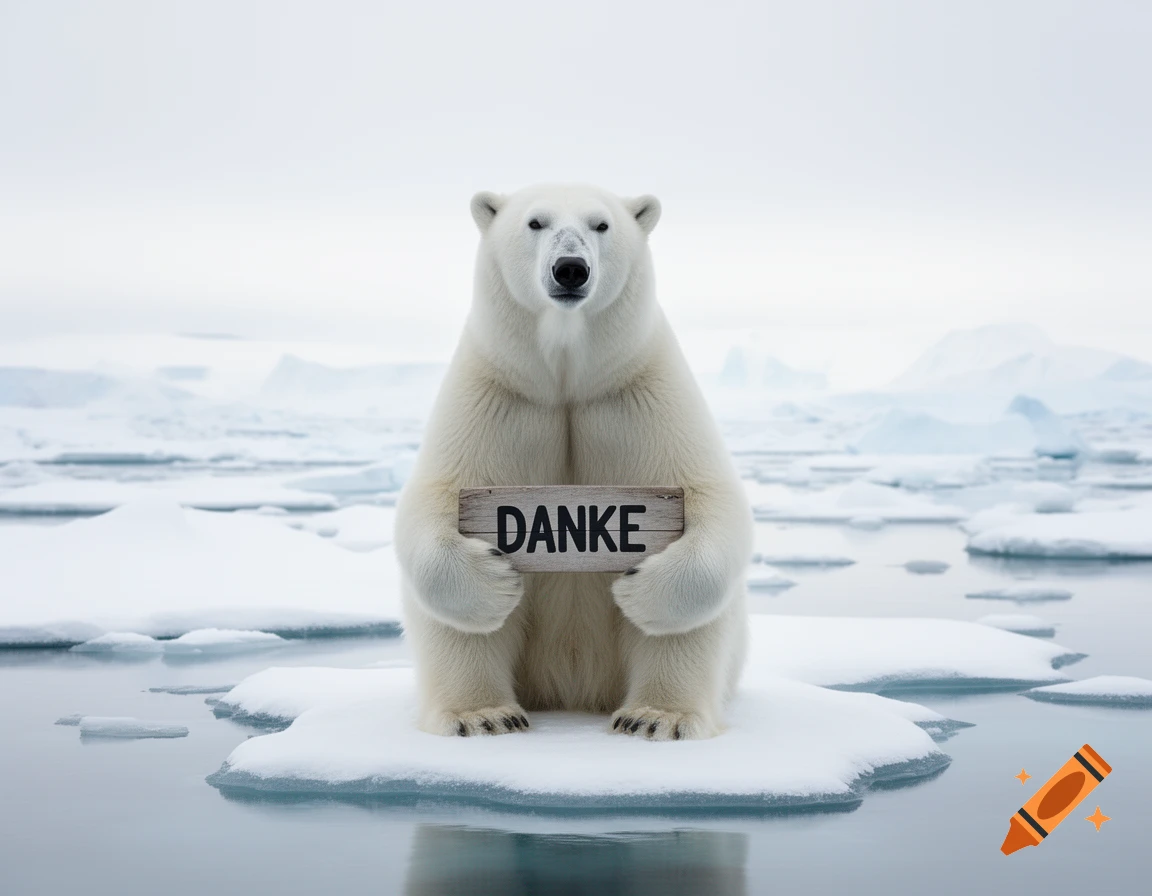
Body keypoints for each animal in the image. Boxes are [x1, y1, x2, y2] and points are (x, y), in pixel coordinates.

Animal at [393, 183, 753, 740]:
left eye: (601, 225)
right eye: (535, 222)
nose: (570, 269)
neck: (565, 378)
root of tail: (572, 688)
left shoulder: (640, 393)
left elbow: (711, 501)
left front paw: (636, 585)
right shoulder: (497, 395)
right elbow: (433, 501)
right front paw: (499, 581)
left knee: (689, 634)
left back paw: (655, 715)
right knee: (453, 632)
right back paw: (482, 714)